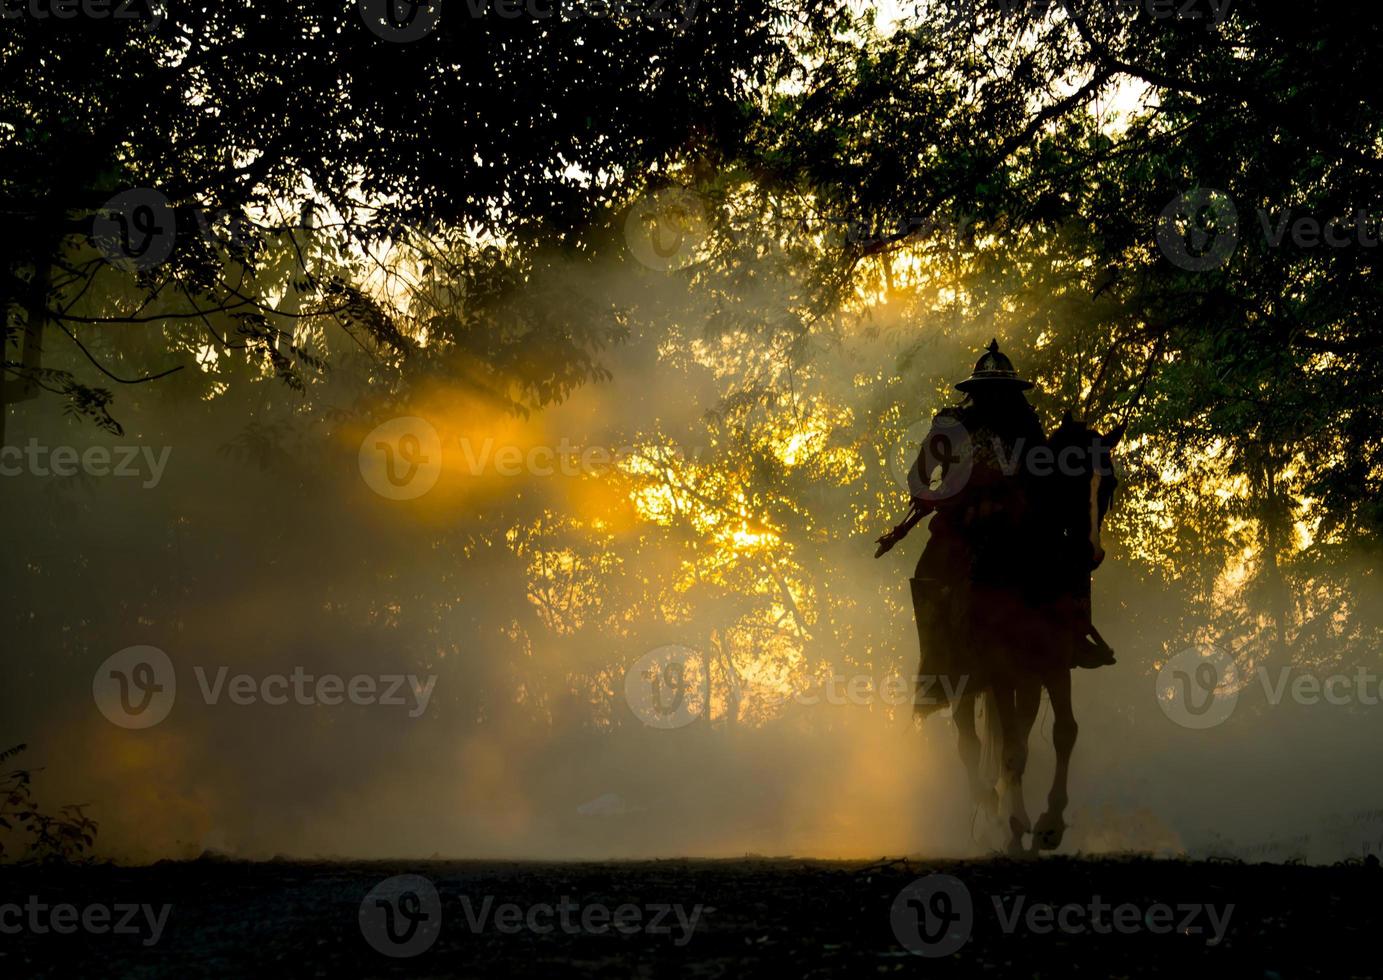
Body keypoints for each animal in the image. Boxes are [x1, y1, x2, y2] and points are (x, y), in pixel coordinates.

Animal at [945, 409, 1117, 851]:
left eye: (1109, 483)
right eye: (1069, 474)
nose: (1089, 553)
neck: (1031, 571)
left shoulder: (1053, 663)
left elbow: (1064, 732)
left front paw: (1049, 823)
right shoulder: (998, 670)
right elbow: (1007, 747)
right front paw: (1012, 821)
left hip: (1028, 682)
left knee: (1015, 736)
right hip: (967, 678)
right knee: (969, 742)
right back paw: (990, 814)